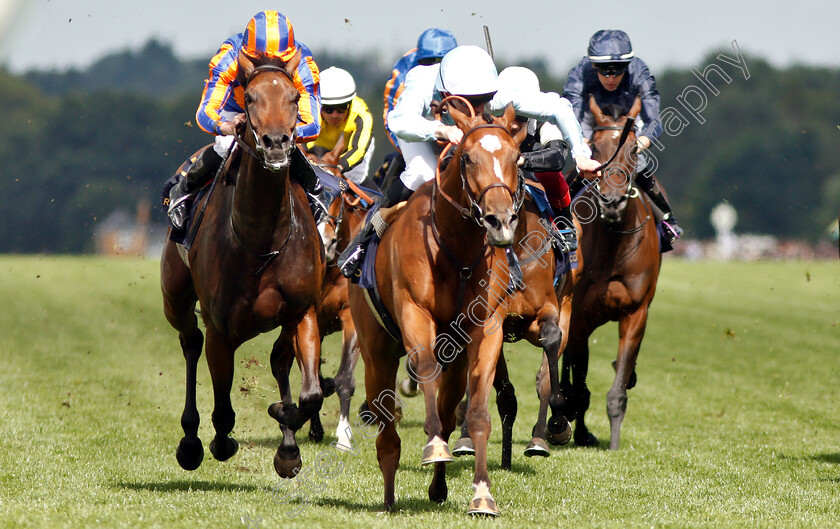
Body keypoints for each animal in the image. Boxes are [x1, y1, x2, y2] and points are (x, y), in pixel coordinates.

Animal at [159, 51, 324, 476]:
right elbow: (223, 409)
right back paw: (190, 441)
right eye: (249, 98)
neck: (261, 238)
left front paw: (286, 429)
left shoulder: (302, 311)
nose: (277, 143)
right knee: (190, 342)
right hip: (175, 300)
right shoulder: (221, 328)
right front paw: (218, 442)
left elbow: (310, 395)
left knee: (280, 360)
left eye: (294, 98)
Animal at [352, 103, 528, 516]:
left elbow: (477, 412)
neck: (457, 248)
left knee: (448, 410)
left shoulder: (486, 328)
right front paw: (433, 446)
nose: (500, 221)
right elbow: (425, 369)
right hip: (375, 349)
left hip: (456, 359)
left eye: (516, 157)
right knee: (387, 426)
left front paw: (482, 494)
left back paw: (437, 488)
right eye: (467, 157)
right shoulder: (415, 313)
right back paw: (389, 497)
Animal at [560, 96, 668, 450]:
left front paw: (615, 442)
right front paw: (571, 425)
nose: (612, 201)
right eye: (594, 147)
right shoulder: (579, 317)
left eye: (633, 149)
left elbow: (617, 390)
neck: (613, 245)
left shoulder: (636, 313)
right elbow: (578, 384)